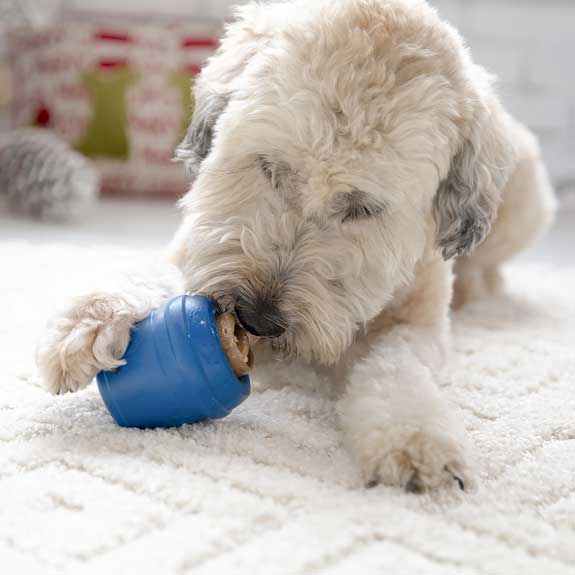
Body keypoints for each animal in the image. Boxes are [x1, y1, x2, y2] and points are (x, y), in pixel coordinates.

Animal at [37, 1, 560, 496]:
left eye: (363, 208)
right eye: (270, 167)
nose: (256, 319)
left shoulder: (416, 322)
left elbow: (398, 369)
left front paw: (417, 441)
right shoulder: (197, 248)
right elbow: (155, 272)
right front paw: (91, 320)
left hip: (524, 202)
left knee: (490, 269)